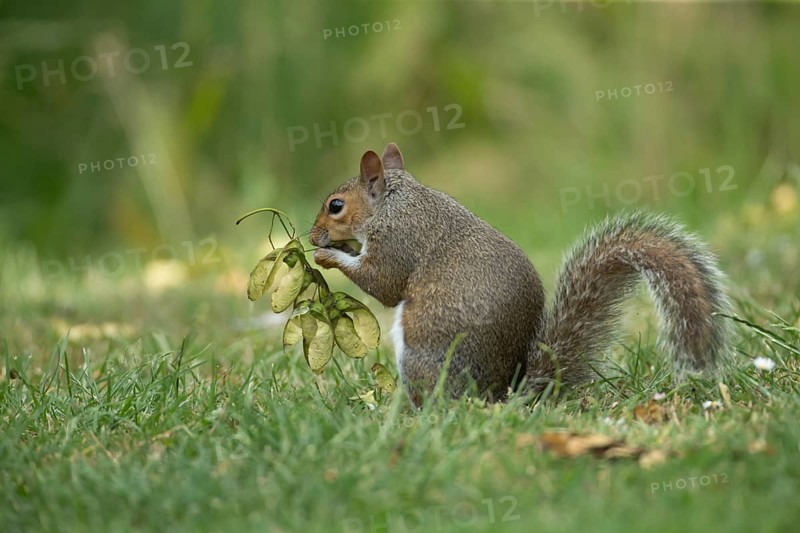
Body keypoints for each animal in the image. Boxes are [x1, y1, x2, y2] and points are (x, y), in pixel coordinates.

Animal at [310, 143, 732, 406]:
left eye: (336, 205)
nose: (313, 235)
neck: (394, 203)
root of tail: (501, 394)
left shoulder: (398, 243)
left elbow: (383, 284)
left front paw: (327, 257)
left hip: (420, 353)